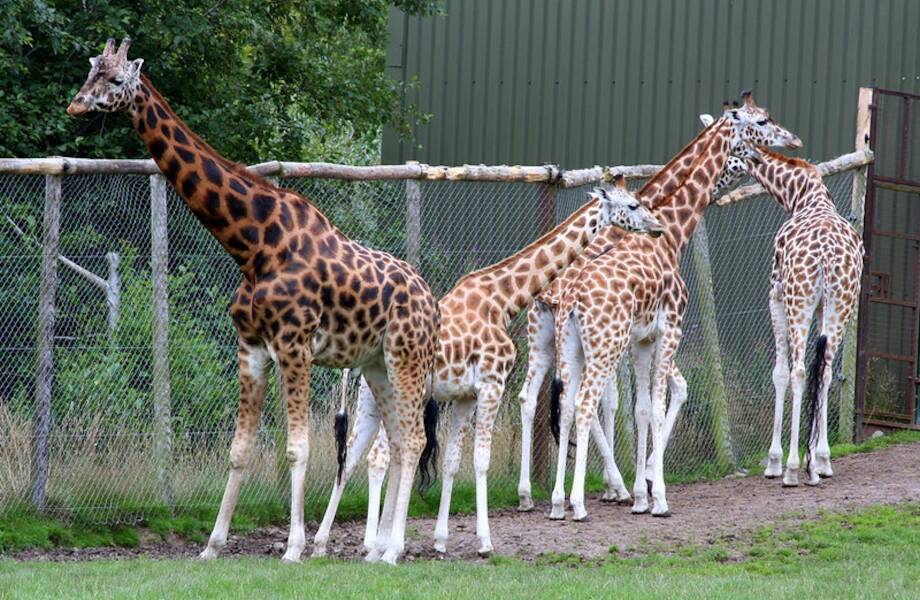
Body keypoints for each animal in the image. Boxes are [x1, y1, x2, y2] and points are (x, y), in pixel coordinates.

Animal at [66, 37, 440, 564]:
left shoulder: (295, 344)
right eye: (90, 71)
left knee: (413, 437)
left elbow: (297, 448)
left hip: (407, 356)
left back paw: (392, 551)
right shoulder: (252, 346)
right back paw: (380, 549)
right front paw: (212, 546)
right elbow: (239, 450)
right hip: (376, 364)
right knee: (400, 442)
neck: (253, 244)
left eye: (117, 79)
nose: (76, 105)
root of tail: (432, 301)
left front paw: (294, 548)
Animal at [312, 180, 664, 556]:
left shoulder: (466, 395)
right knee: (380, 455)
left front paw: (440, 540)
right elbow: (481, 460)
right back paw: (376, 543)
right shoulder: (492, 384)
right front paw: (484, 541)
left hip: (371, 401)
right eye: (633, 204)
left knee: (353, 458)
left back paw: (323, 544)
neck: (503, 300)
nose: (657, 226)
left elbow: (453, 463)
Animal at [548, 94, 800, 520]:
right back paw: (579, 502)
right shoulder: (670, 330)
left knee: (564, 404)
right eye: (761, 123)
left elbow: (643, 408)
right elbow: (660, 401)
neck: (672, 235)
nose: (793, 142)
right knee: (584, 404)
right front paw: (657, 496)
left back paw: (557, 502)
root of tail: (569, 295)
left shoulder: (642, 339)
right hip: (602, 346)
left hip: (570, 346)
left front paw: (641, 495)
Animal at [704, 118, 864, 488]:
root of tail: (826, 258)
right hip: (841, 304)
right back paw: (818, 464)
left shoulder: (775, 296)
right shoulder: (822, 308)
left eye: (723, 156)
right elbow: (823, 373)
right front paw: (819, 460)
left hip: (798, 301)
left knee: (800, 371)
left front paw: (775, 462)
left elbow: (779, 372)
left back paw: (791, 469)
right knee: (824, 370)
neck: (801, 195)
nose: (709, 192)